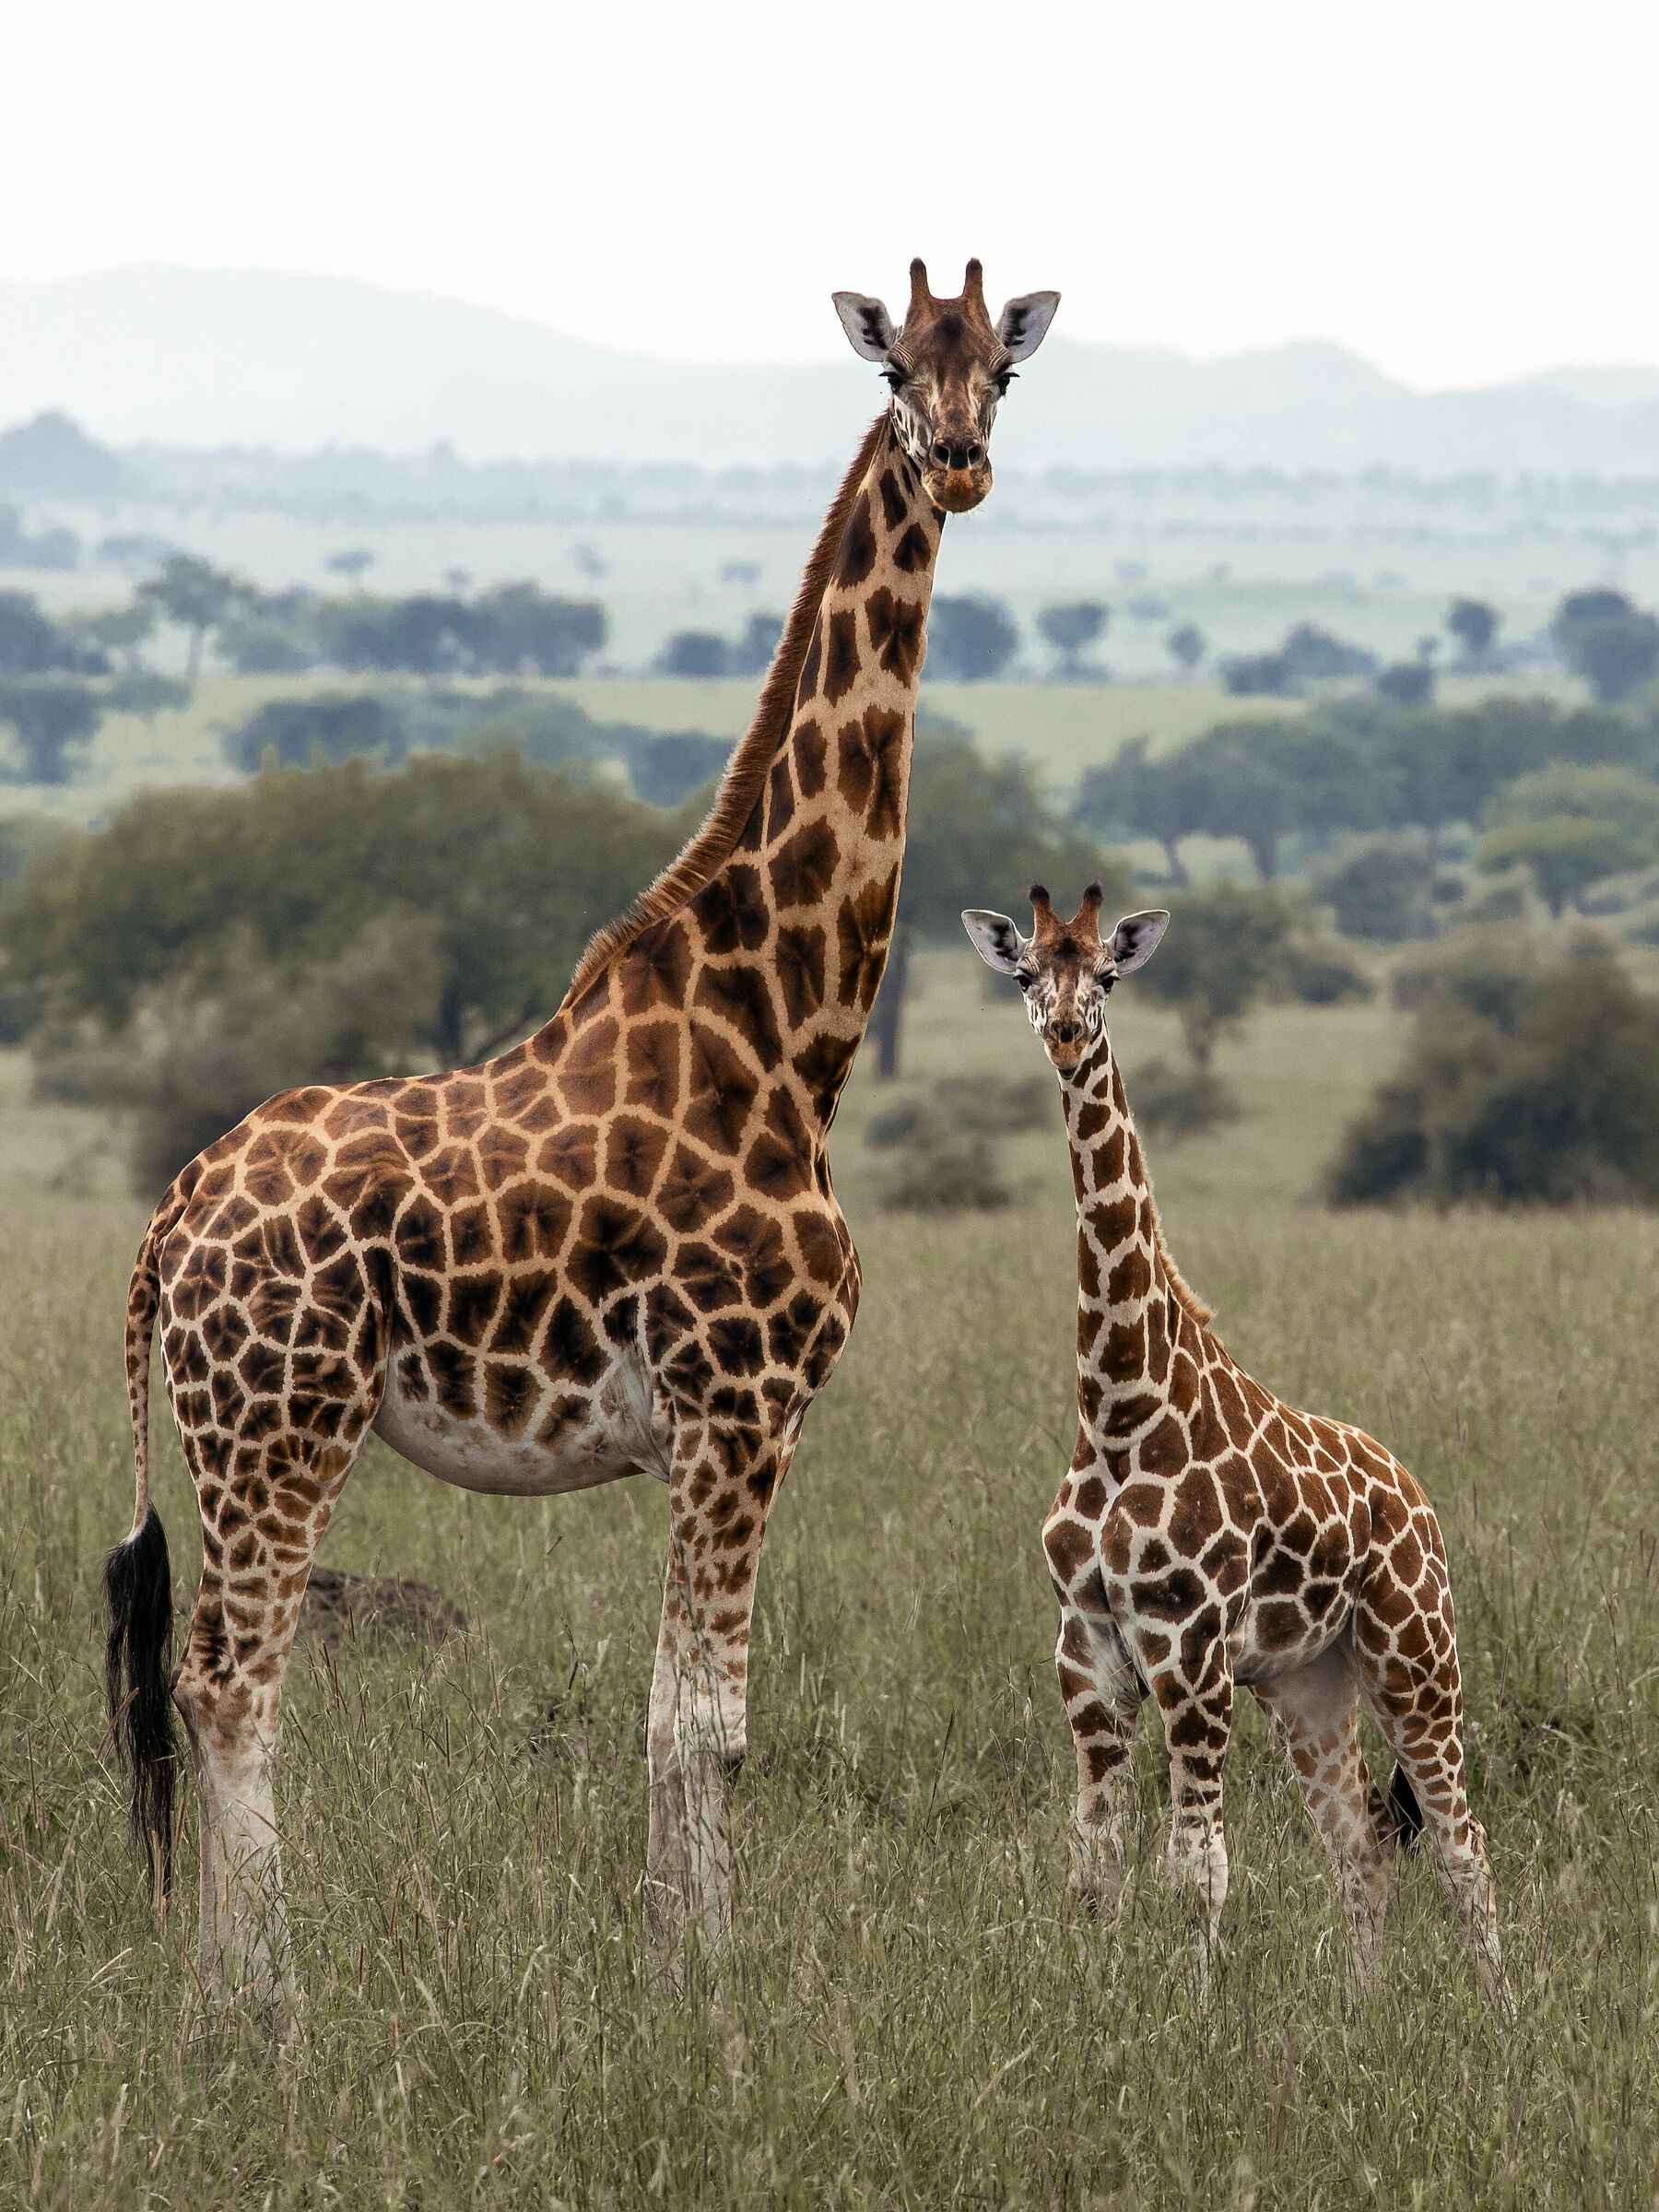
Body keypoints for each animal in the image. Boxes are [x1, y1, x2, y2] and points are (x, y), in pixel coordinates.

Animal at [103, 258, 1060, 2026]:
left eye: (1004, 377)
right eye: (897, 370)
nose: (958, 462)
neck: (786, 1033)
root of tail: (169, 1221)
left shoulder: (708, 1436)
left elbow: (676, 1718)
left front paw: (675, 1964)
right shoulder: (744, 1407)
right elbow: (712, 1728)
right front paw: (713, 1991)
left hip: (226, 1438)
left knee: (204, 1678)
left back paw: (220, 1984)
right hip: (281, 1430)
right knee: (228, 1681)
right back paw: (267, 2000)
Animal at [961, 884, 1507, 2003]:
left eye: (1109, 974)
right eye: (1028, 971)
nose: (1066, 1033)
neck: (1122, 1408)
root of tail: (1419, 1496)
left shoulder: (1191, 1652)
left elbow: (1198, 1870)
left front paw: (1197, 2021)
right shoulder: (1086, 1653)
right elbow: (1095, 1869)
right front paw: (1101, 2009)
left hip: (1418, 1658)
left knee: (1465, 1844)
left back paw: (1510, 2012)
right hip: (1312, 1683)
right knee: (1363, 1845)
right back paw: (1360, 2014)